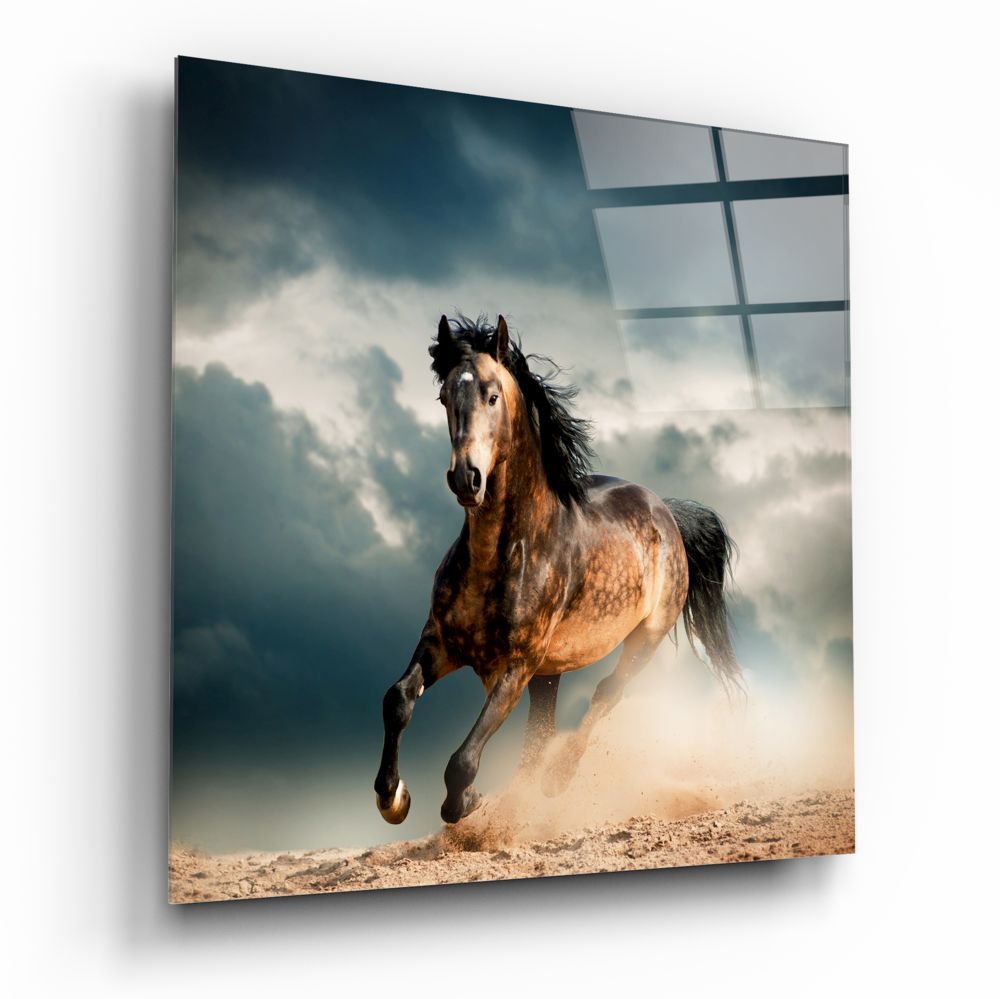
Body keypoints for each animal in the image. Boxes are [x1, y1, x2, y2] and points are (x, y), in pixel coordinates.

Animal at [374, 314, 742, 825]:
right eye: (445, 397)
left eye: (492, 395)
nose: (466, 478)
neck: (504, 554)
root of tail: (666, 512)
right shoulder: (441, 642)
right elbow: (397, 699)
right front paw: (393, 797)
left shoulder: (516, 666)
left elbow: (463, 760)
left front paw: (467, 802)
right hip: (550, 672)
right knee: (543, 731)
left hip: (642, 641)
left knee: (605, 695)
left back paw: (556, 779)